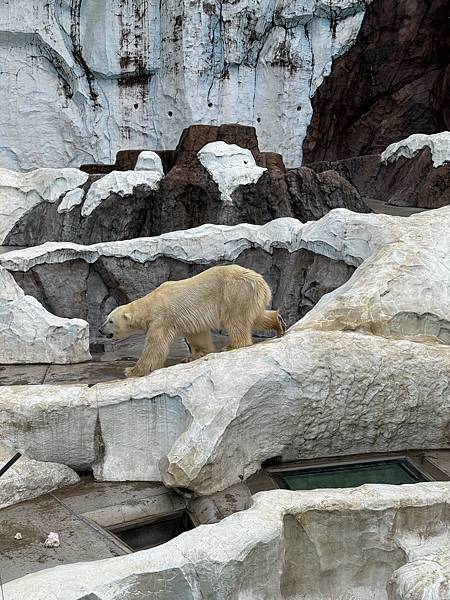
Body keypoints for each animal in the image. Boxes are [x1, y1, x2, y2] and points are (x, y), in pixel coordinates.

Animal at [101, 264, 284, 378]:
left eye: (110, 321)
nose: (100, 330)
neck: (151, 303)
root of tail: (261, 281)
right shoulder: (188, 319)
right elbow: (197, 334)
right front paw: (194, 356)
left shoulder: (162, 318)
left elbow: (155, 347)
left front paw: (131, 371)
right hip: (250, 296)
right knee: (256, 316)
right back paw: (279, 323)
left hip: (235, 293)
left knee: (235, 320)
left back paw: (232, 345)